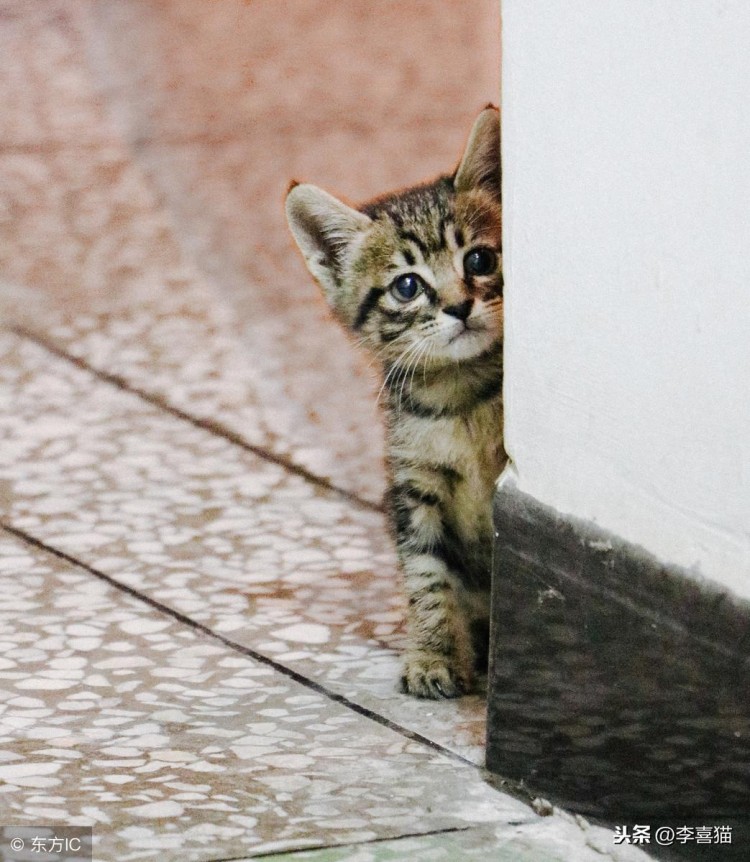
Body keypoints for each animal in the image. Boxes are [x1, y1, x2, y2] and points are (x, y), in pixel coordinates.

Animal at [286, 109, 506, 704]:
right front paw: (432, 654)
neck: (463, 395)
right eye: (407, 286)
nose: (459, 306)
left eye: (480, 259)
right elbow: (426, 575)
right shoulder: (413, 487)